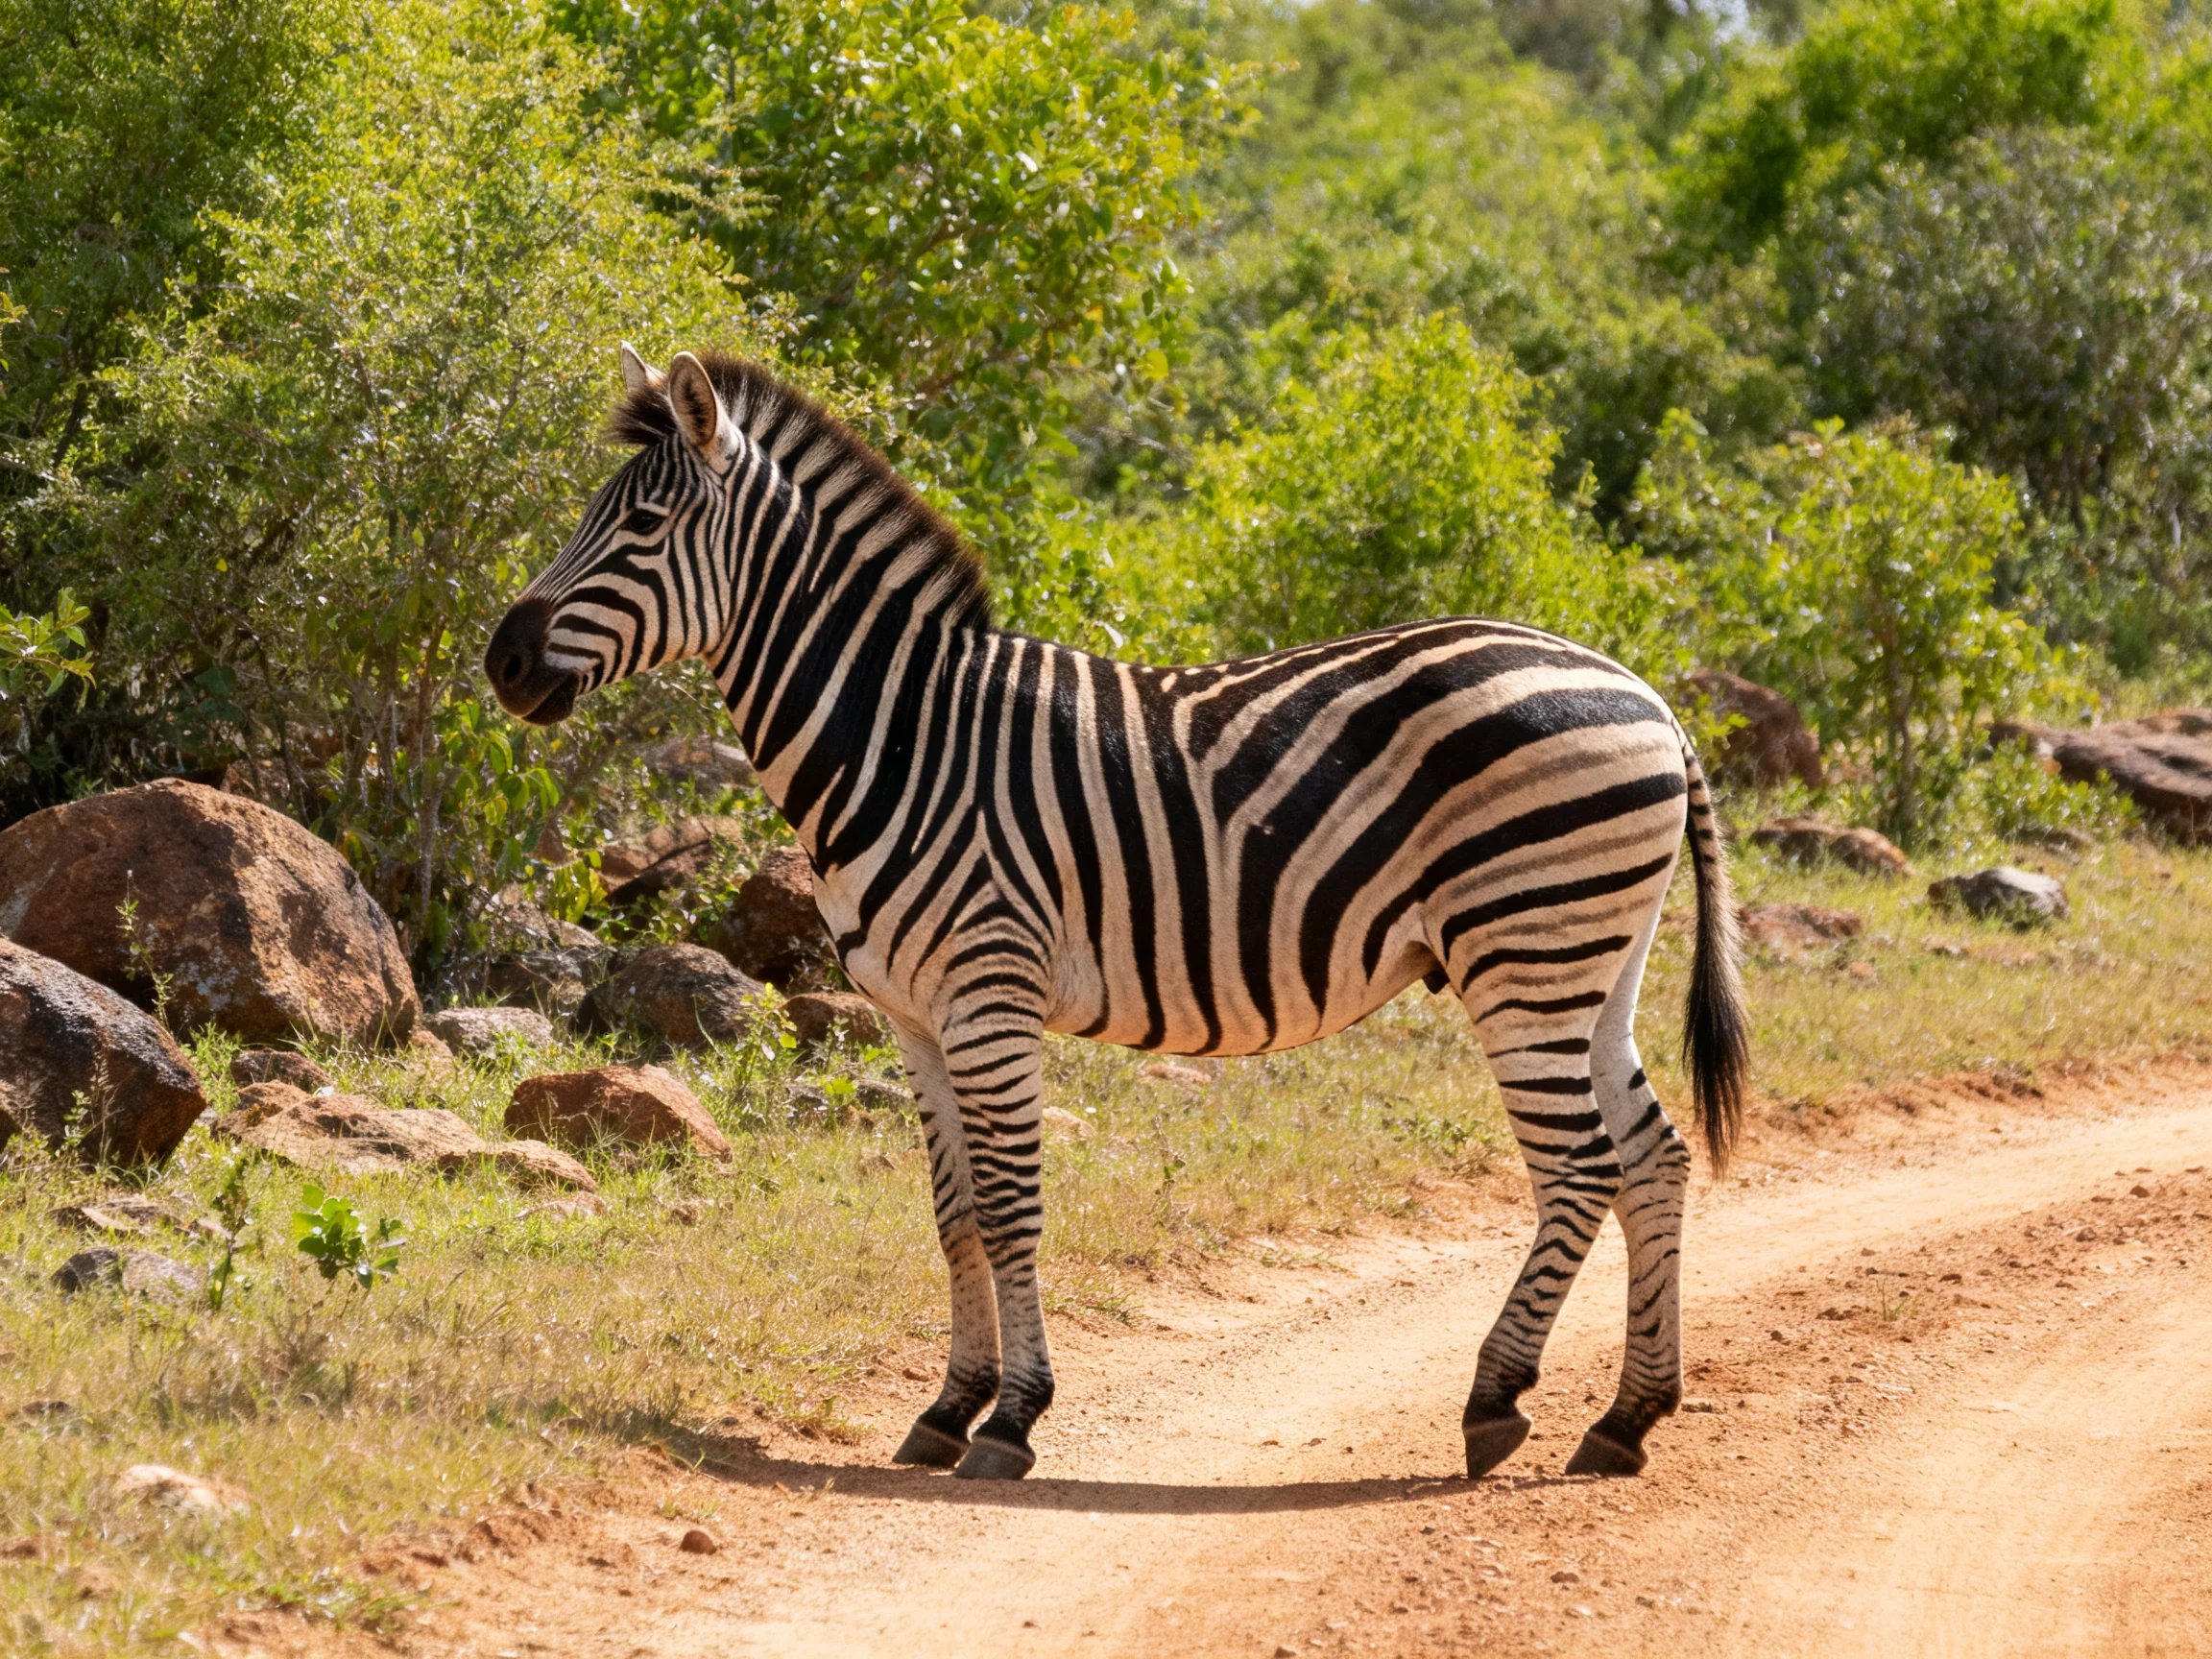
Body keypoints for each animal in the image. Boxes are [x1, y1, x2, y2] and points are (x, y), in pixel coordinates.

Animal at [485, 345, 1749, 1483]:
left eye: (642, 528)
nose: (501, 662)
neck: (901, 739)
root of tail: (1650, 697)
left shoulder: (989, 992)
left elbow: (1009, 1209)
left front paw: (1012, 1421)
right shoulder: (912, 1016)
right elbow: (952, 1213)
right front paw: (946, 1409)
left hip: (1523, 950)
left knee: (1580, 1169)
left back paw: (1496, 1402)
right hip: (1594, 962)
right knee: (1655, 1156)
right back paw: (1627, 1419)